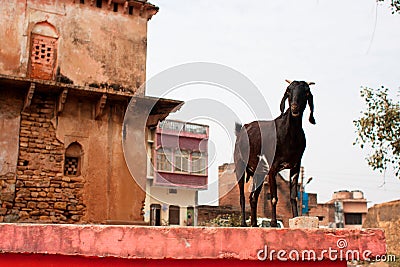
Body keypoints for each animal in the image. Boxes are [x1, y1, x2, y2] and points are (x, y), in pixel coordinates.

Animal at [234, 80, 316, 228]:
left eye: (306, 92)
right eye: (289, 91)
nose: (294, 107)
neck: (289, 135)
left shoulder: (296, 166)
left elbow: (293, 196)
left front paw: (296, 218)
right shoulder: (273, 167)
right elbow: (273, 197)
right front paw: (273, 222)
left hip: (259, 172)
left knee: (253, 197)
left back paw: (254, 224)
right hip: (240, 165)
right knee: (242, 196)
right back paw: (244, 223)